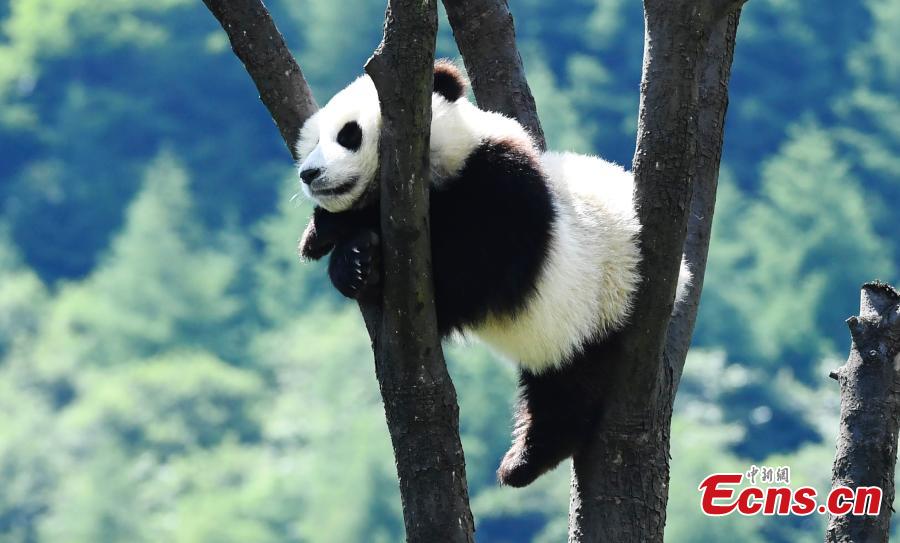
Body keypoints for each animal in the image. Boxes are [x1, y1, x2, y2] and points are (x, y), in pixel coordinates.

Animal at [296, 60, 688, 488]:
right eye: (312, 141)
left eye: (348, 133)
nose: (309, 173)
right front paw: (346, 253)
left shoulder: (501, 186)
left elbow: (473, 268)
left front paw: (367, 256)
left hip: (602, 302)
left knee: (568, 387)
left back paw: (522, 463)